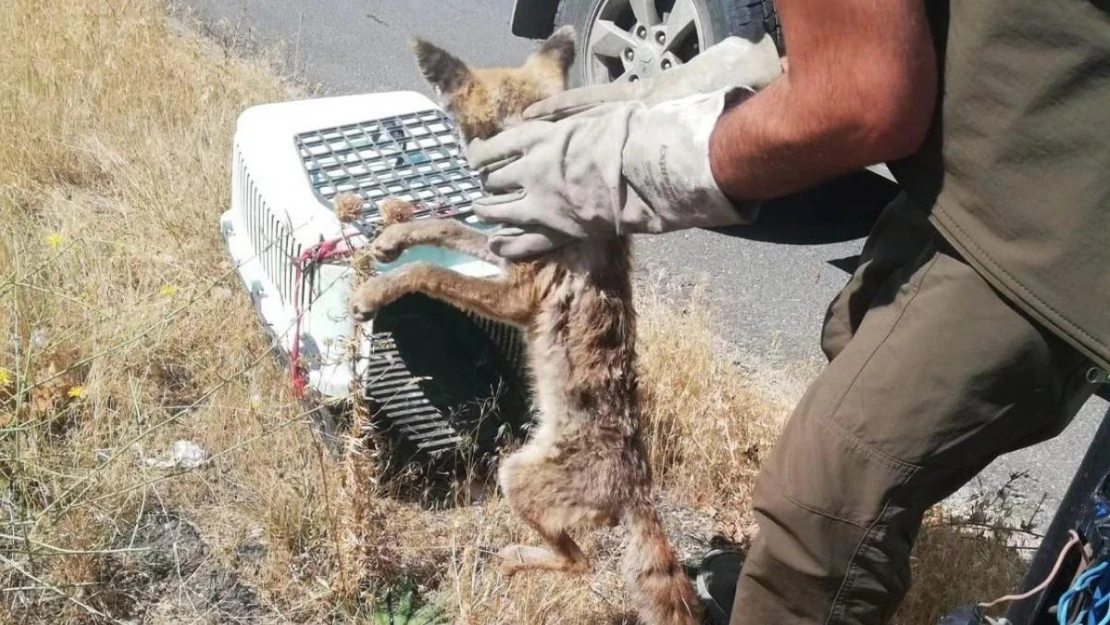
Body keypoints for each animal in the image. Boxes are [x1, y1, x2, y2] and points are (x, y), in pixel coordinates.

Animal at [350, 25, 701, 625]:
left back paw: (514, 559)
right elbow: (443, 227)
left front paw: (375, 291)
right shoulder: (499, 252)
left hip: (513, 475)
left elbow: (426, 271)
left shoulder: (516, 297)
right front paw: (393, 238)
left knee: (580, 561)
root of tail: (638, 489)